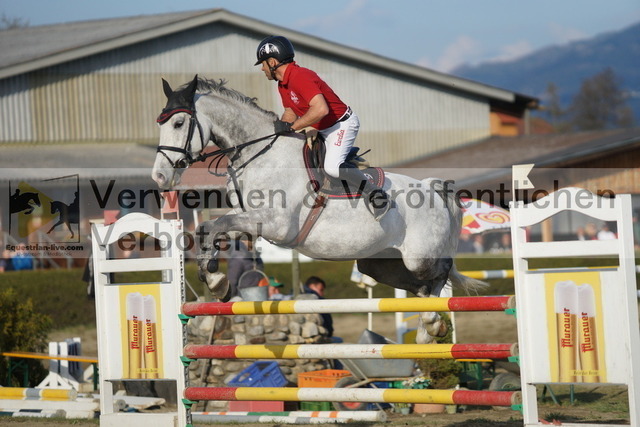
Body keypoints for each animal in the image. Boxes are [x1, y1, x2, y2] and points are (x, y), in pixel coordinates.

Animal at [152, 76, 485, 344]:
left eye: (178, 124)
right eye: (161, 123)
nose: (159, 177)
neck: (258, 153)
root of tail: (431, 187)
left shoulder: (274, 224)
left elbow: (214, 226)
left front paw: (216, 281)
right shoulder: (248, 223)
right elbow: (208, 228)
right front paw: (216, 282)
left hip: (418, 257)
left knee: (439, 274)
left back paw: (431, 325)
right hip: (378, 263)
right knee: (419, 288)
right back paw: (427, 329)